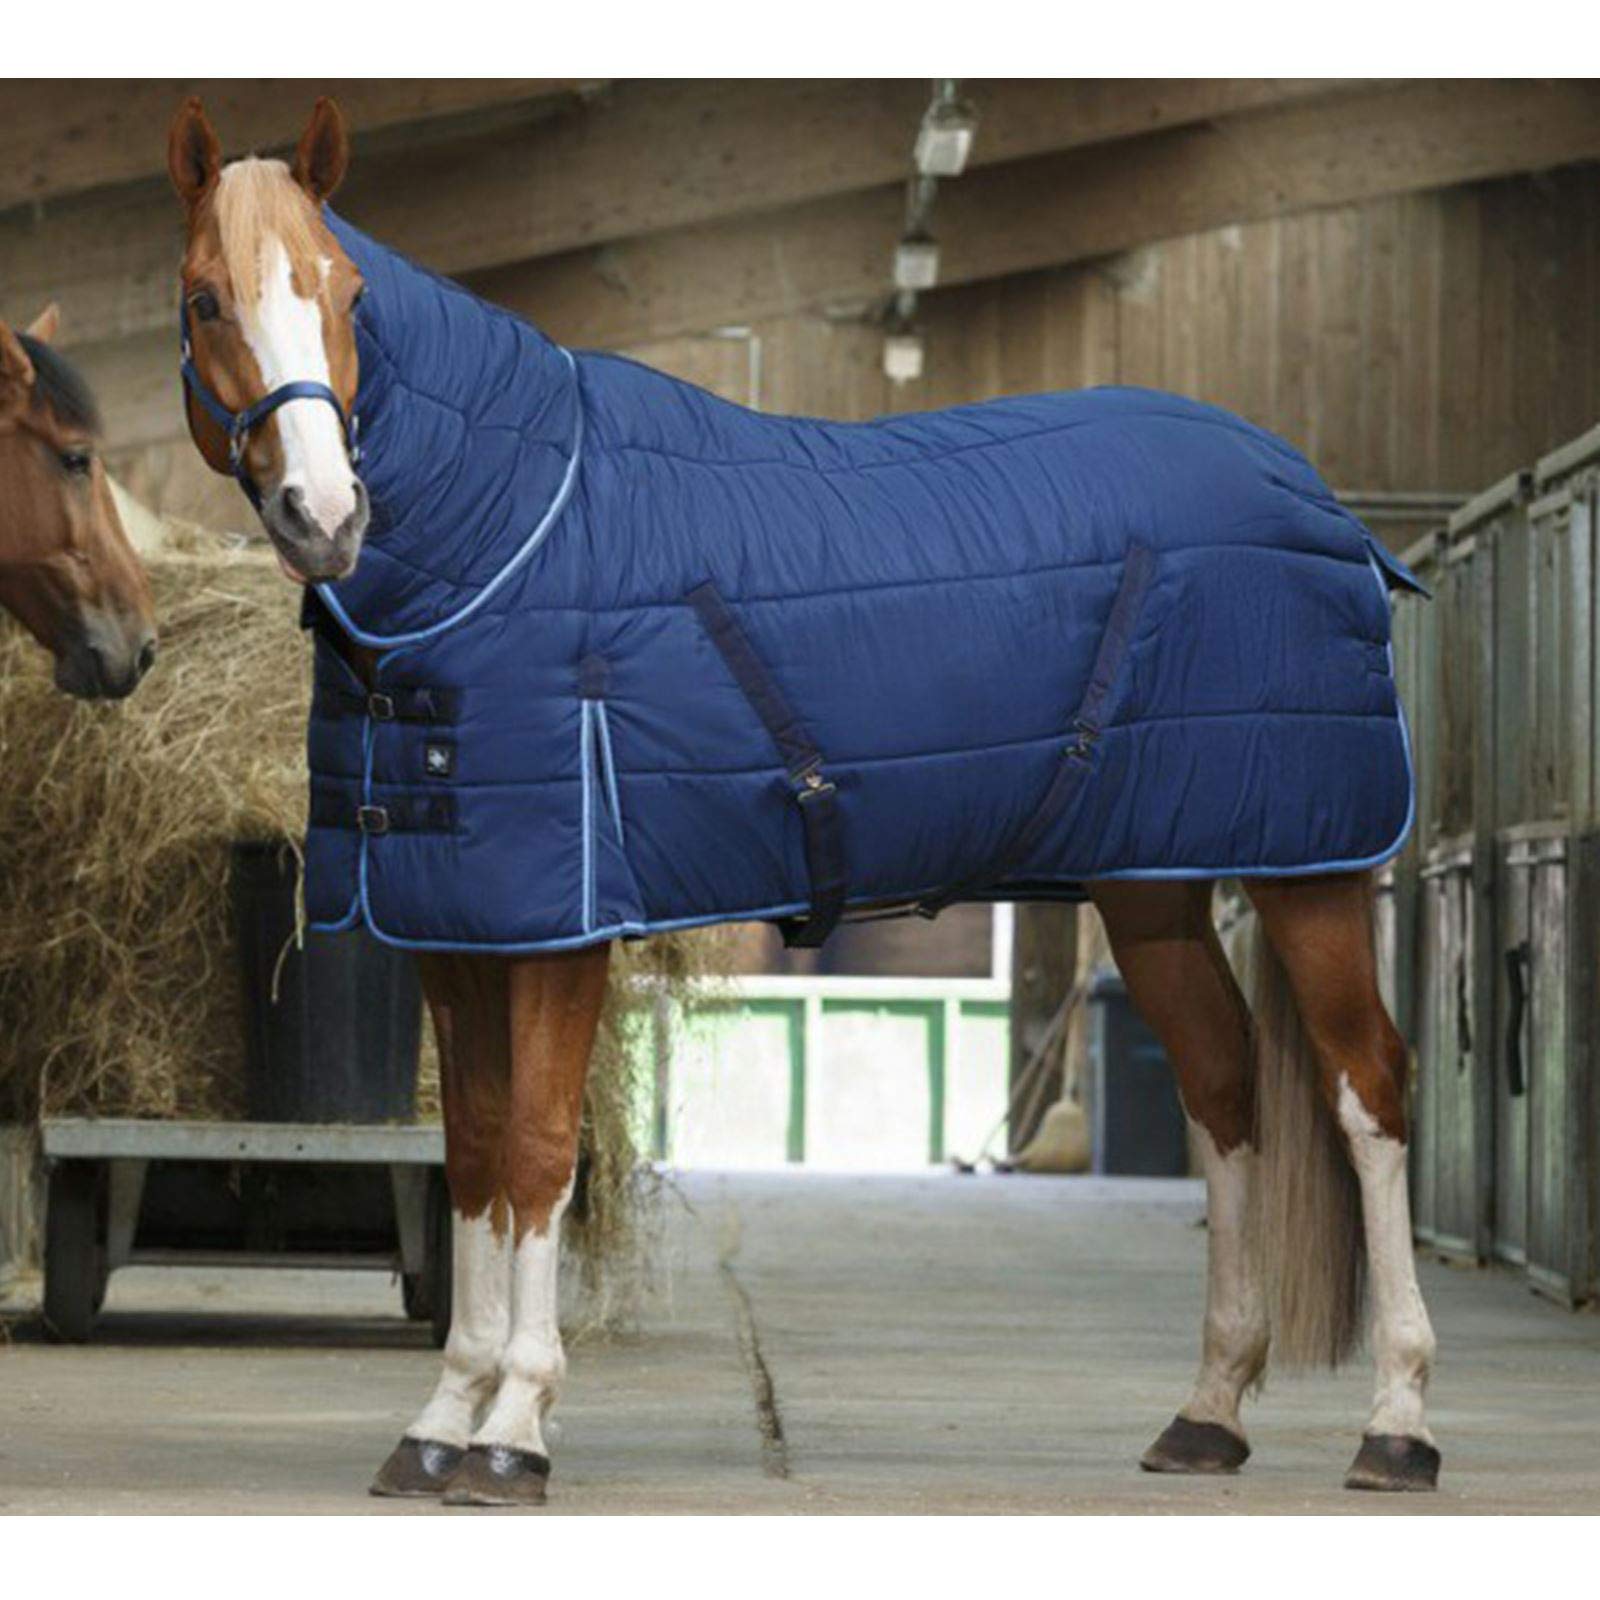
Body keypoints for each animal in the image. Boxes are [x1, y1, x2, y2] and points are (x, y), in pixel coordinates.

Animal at [168, 95, 1439, 1504]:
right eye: (207, 297)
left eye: (345, 290)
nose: (324, 514)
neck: (513, 532)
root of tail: (1322, 504)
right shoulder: (454, 925)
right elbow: (479, 1158)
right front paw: (441, 1418)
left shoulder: (560, 926)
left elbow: (542, 1150)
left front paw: (514, 1431)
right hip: (1154, 886)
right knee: (1222, 1089)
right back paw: (1207, 1411)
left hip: (1310, 867)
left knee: (1367, 1090)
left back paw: (1397, 1421)